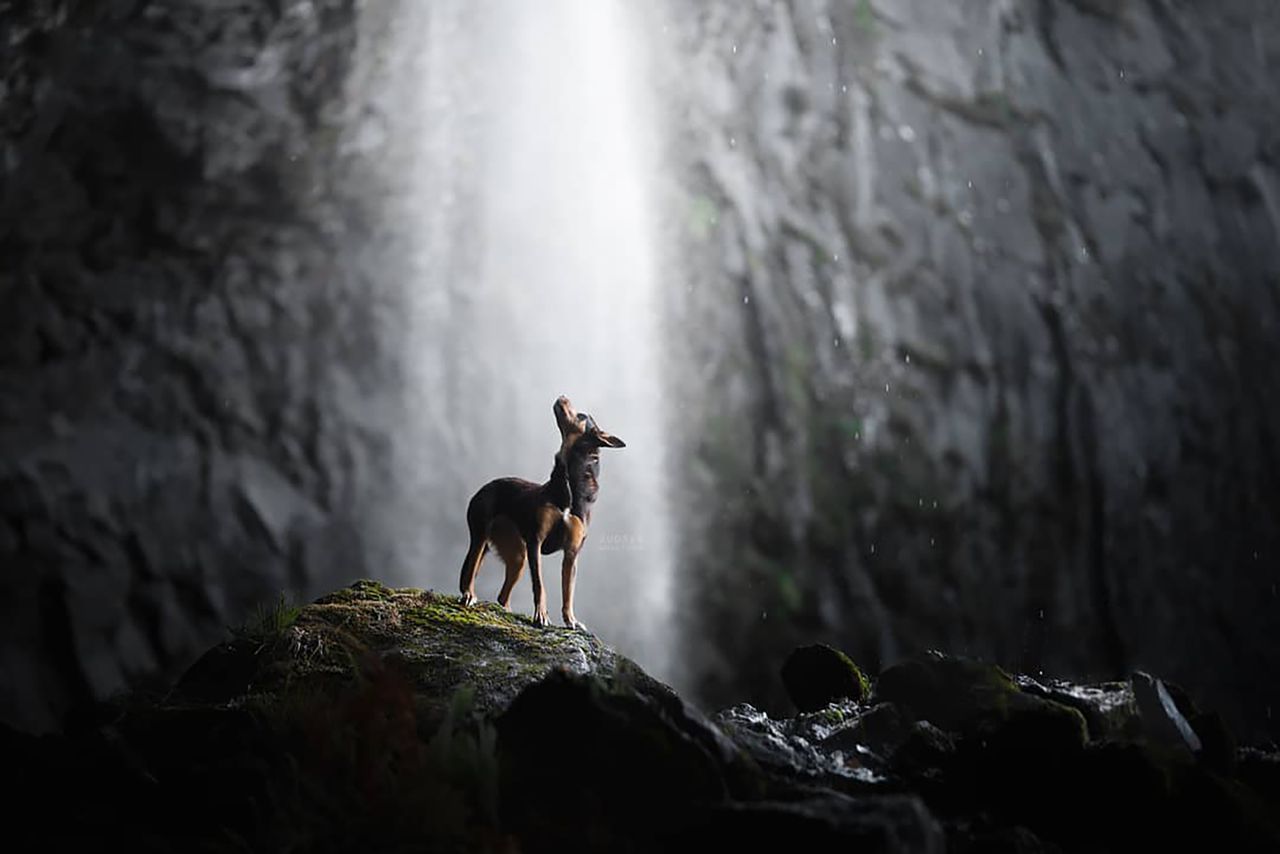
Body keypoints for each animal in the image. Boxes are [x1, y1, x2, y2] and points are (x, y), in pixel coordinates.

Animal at [460, 394, 624, 627]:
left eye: (580, 415)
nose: (562, 395)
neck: (567, 483)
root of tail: (488, 485)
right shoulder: (535, 541)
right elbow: (539, 585)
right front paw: (541, 615)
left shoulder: (571, 553)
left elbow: (568, 592)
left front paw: (571, 620)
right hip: (482, 536)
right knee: (471, 571)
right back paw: (469, 595)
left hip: (517, 557)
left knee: (502, 596)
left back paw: (505, 610)